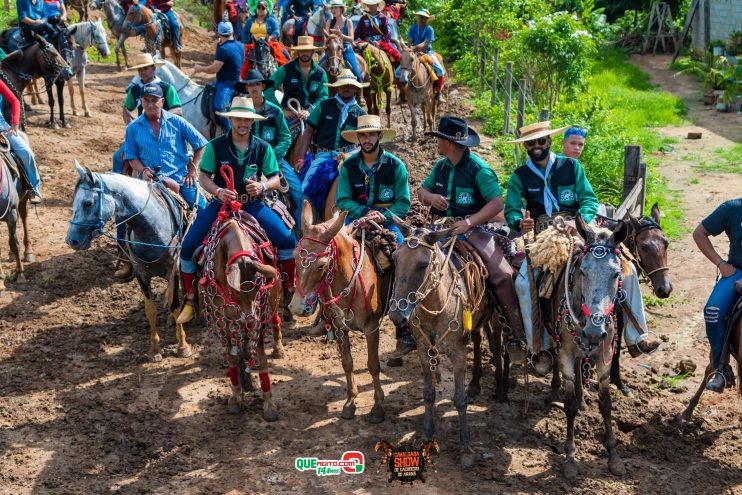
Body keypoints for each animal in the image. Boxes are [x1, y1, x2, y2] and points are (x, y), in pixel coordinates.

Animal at [66, 165, 195, 362]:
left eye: (87, 203)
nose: (71, 240)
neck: (153, 228)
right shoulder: (141, 274)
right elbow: (150, 310)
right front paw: (154, 349)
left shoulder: (173, 271)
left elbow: (175, 305)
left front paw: (183, 345)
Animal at [199, 213, 284, 422]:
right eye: (235, 290)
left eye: (258, 284)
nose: (250, 319)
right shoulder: (222, 316)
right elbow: (231, 354)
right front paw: (236, 397)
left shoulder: (258, 311)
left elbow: (261, 357)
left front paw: (269, 404)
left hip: (273, 293)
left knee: (274, 318)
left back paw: (277, 347)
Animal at [288, 203, 398, 424]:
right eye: (294, 256)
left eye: (321, 265)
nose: (297, 308)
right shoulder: (339, 327)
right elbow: (347, 363)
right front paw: (350, 402)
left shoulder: (372, 328)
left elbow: (373, 365)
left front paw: (377, 407)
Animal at [544, 218, 632, 480]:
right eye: (583, 271)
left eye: (616, 274)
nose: (593, 331)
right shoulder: (565, 354)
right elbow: (569, 404)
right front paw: (570, 459)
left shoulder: (605, 356)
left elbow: (606, 403)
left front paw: (614, 457)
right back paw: (556, 389)